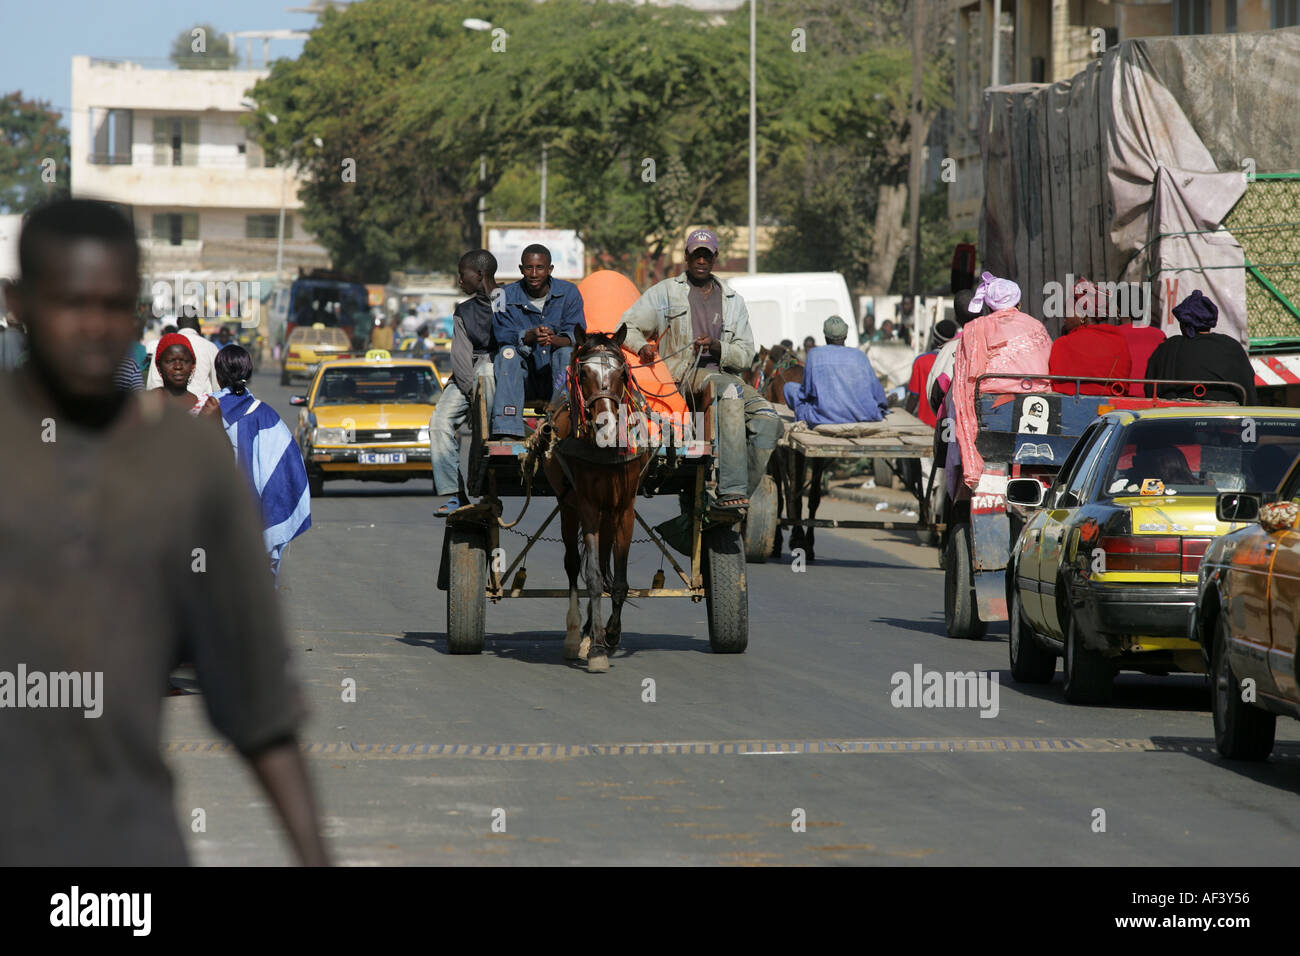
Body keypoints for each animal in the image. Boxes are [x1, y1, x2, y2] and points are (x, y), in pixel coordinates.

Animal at [535, 321, 647, 671]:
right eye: (583, 374)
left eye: (623, 373)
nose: (607, 428)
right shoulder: (586, 506)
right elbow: (594, 578)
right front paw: (597, 649)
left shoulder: (624, 509)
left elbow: (618, 580)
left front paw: (609, 635)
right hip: (569, 507)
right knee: (574, 564)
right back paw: (576, 636)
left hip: (607, 514)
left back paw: (589, 632)